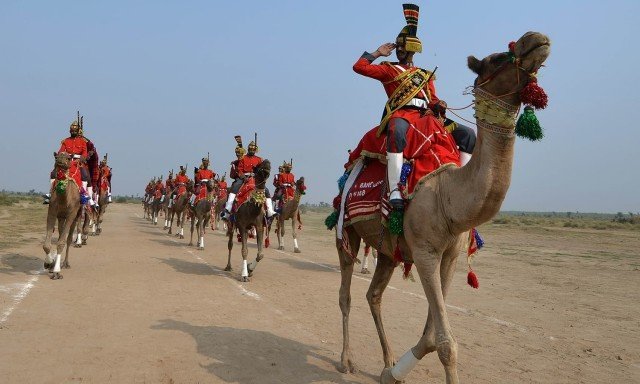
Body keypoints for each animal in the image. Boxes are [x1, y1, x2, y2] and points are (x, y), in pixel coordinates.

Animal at [42, 152, 85, 280]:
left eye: (68, 158)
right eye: (56, 157)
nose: (60, 161)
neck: (64, 199)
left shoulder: (71, 214)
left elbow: (62, 242)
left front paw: (57, 271)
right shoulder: (52, 211)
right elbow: (47, 244)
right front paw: (49, 264)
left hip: (76, 215)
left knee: (69, 239)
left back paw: (65, 263)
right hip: (61, 217)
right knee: (61, 234)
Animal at [336, 33, 552, 384]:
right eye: (496, 58)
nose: (537, 38)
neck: (447, 197)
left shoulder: (450, 255)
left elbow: (430, 336)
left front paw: (393, 373)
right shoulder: (425, 252)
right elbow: (446, 343)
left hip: (388, 249)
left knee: (374, 295)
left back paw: (388, 359)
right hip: (348, 231)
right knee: (346, 295)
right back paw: (346, 360)